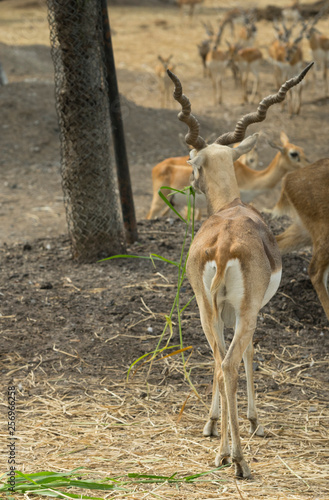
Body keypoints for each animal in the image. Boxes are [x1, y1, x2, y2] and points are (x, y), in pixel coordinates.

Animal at [165, 64, 312, 478]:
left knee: (218, 363)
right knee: (230, 364)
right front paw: (255, 422)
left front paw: (212, 425)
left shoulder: (222, 311)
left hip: (205, 309)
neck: (231, 206)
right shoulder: (253, 310)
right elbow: (248, 354)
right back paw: (240, 460)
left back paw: (221, 453)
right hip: (243, 311)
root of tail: (223, 244)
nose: (192, 182)